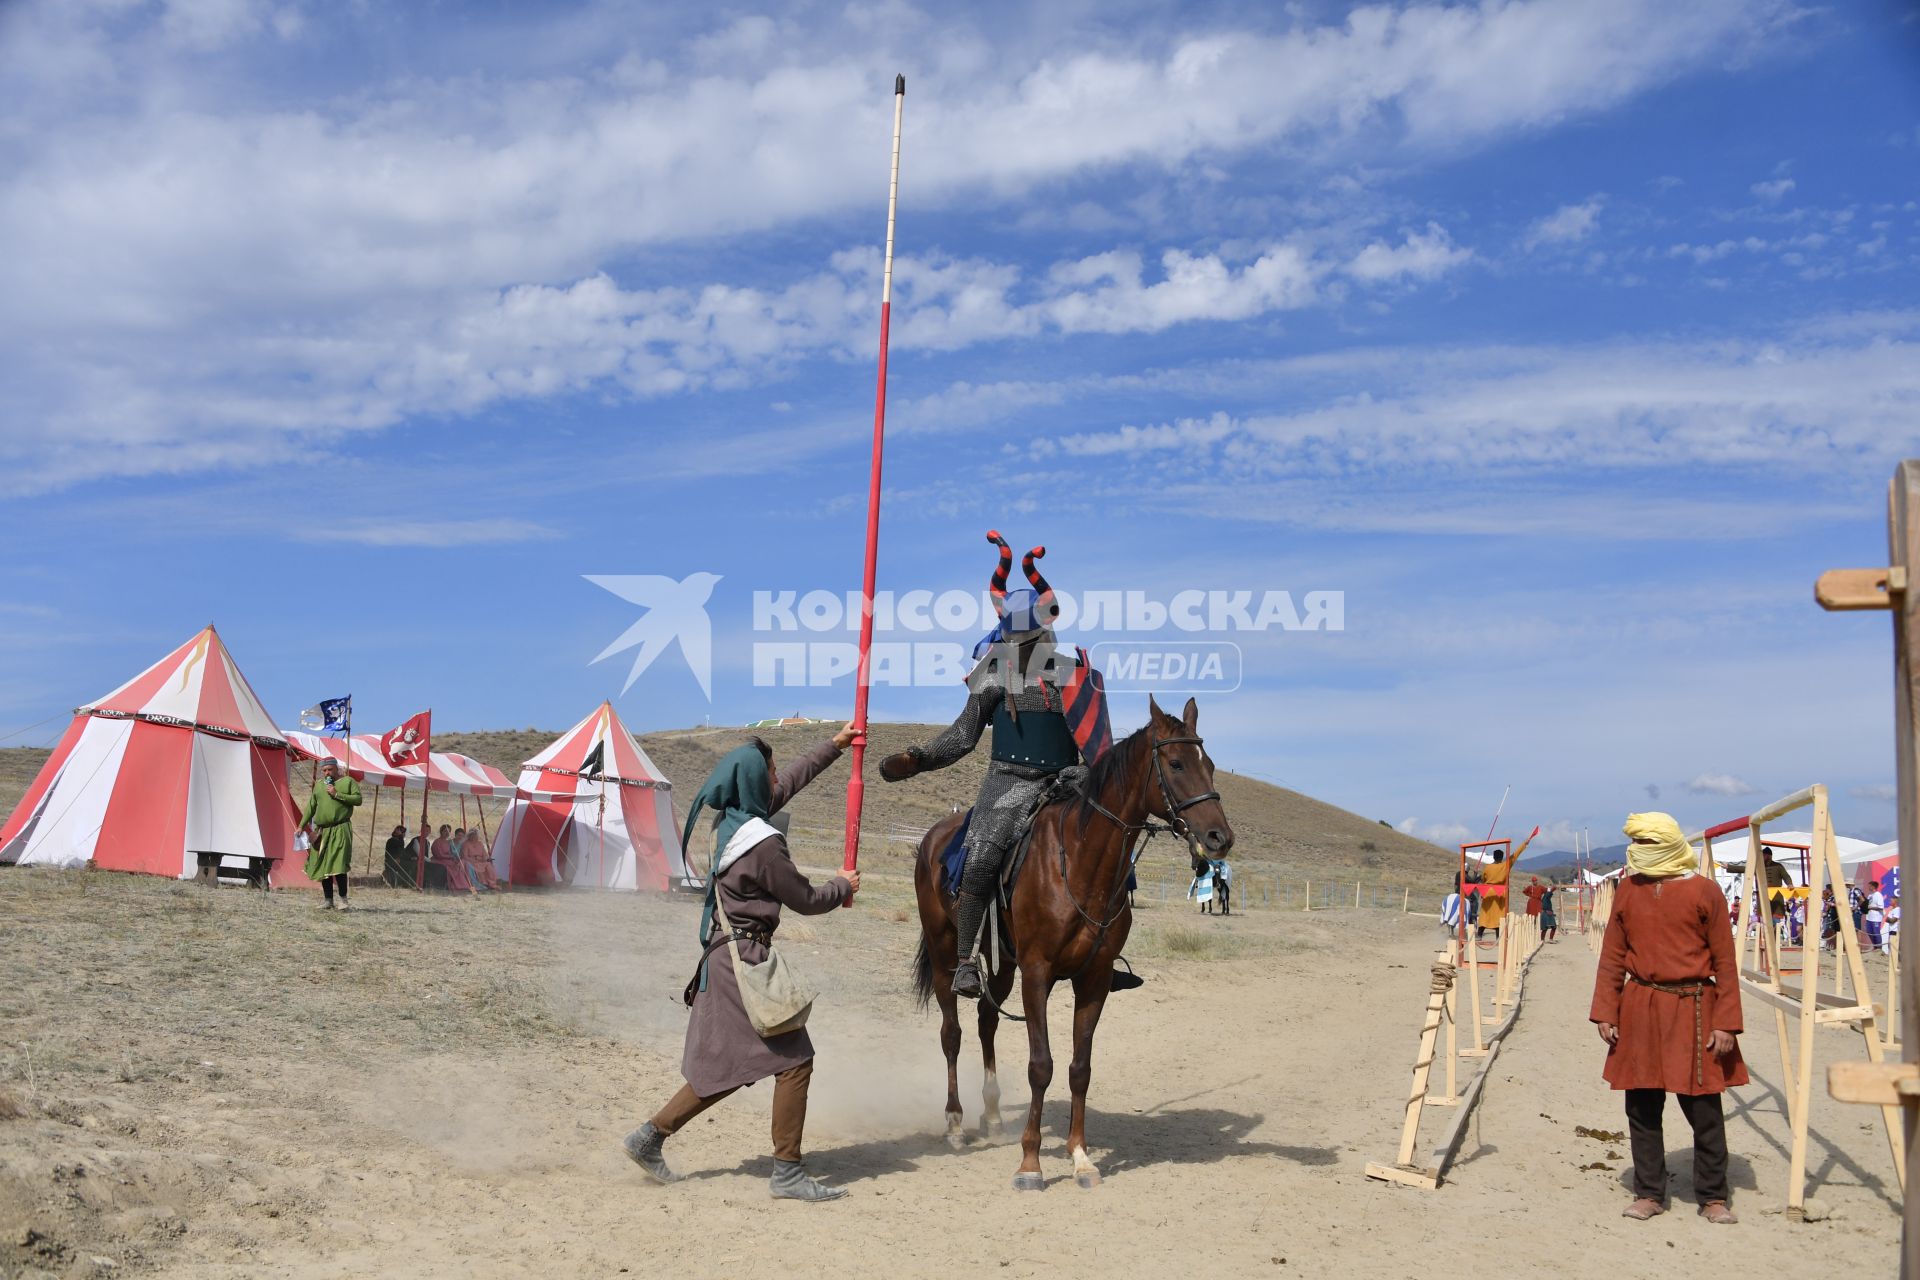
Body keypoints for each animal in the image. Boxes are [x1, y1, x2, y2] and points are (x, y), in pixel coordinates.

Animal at [910, 694, 1236, 1189]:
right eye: (1176, 763)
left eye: (1212, 766)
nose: (1220, 838)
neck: (1080, 861)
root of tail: (932, 838)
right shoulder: (1038, 973)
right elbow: (1040, 1065)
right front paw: (1030, 1162)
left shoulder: (1094, 979)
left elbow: (1080, 1069)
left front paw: (1080, 1156)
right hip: (946, 947)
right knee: (953, 1032)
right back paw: (955, 1124)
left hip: (1002, 961)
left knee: (987, 1019)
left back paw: (992, 1115)